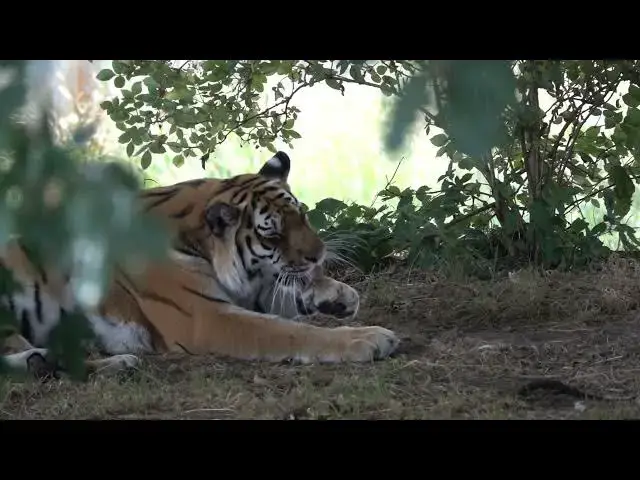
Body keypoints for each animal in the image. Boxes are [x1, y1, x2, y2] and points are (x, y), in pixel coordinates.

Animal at [0, 151, 400, 378]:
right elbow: (292, 331)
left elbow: (284, 294)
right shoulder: (206, 317)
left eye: (302, 216)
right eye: (273, 236)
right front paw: (368, 338)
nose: (318, 254)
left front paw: (339, 296)